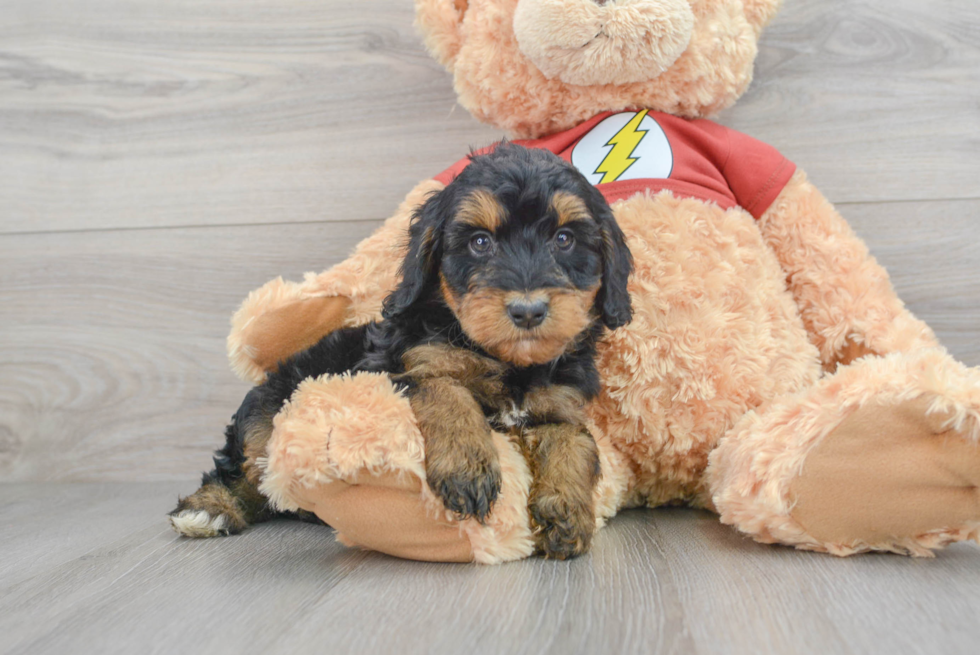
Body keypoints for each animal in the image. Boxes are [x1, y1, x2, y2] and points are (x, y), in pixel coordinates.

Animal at [171, 146, 632, 560]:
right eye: (480, 242)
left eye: (564, 239)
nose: (528, 310)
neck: (506, 361)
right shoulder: (406, 368)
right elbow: (446, 390)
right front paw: (467, 467)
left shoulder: (559, 404)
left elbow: (575, 442)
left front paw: (567, 512)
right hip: (265, 408)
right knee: (245, 466)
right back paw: (209, 509)